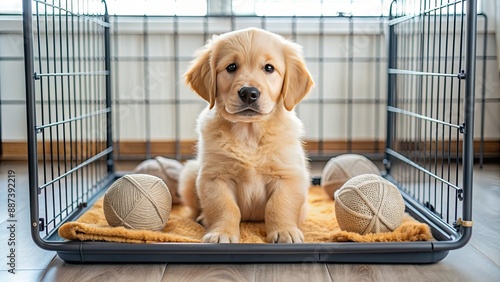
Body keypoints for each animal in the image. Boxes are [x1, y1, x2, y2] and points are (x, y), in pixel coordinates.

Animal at [179, 29, 312, 245]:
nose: (249, 93)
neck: (249, 133)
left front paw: (285, 231)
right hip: (190, 173)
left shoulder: (289, 174)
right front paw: (221, 233)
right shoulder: (214, 176)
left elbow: (279, 205)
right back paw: (201, 218)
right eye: (231, 67)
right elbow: (225, 207)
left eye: (269, 68)